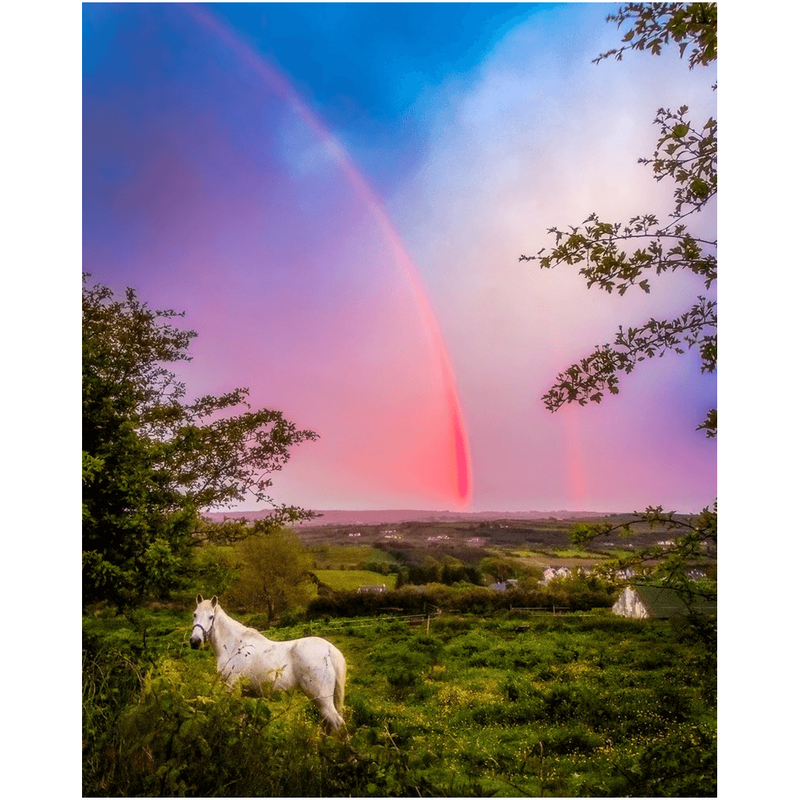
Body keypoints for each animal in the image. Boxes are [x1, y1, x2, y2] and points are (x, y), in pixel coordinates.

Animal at [192, 592, 348, 736]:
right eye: (194, 614)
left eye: (211, 617)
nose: (194, 641)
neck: (234, 645)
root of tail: (330, 650)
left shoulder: (231, 685)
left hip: (322, 699)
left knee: (338, 724)